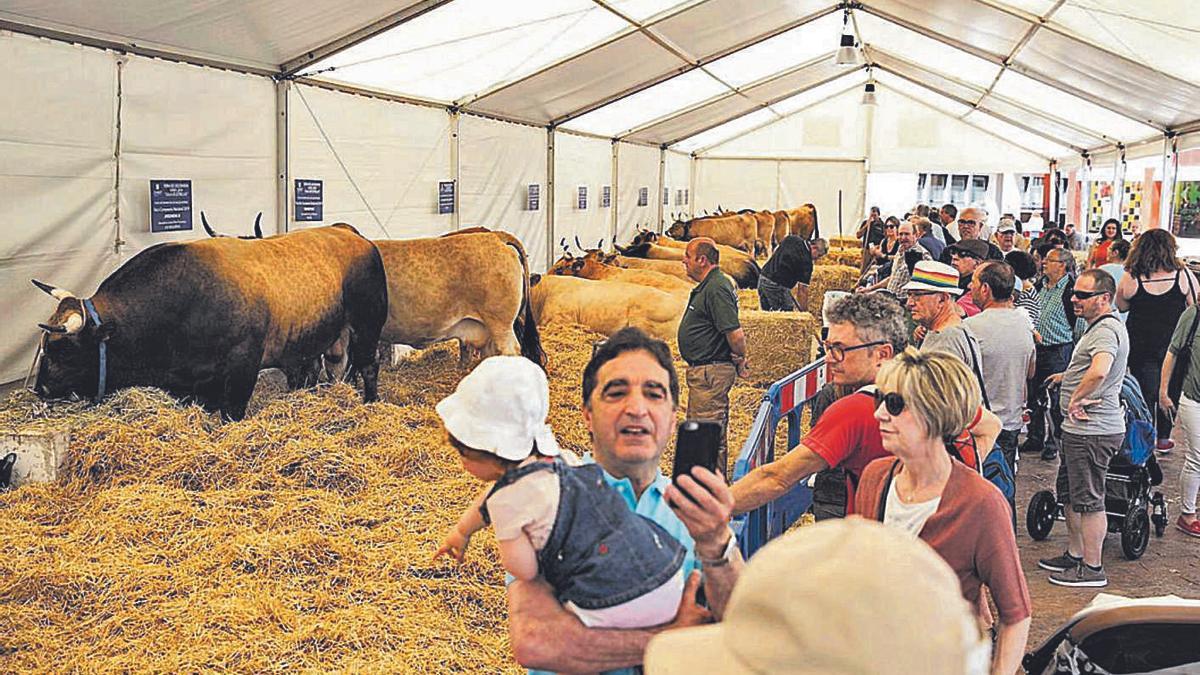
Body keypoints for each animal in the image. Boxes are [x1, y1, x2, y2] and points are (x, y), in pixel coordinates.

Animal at [32, 223, 386, 417]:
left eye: (64, 351)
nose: (41, 389)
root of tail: (356, 238)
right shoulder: (193, 385)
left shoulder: (242, 368)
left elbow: (232, 413)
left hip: (367, 326)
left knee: (368, 366)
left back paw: (370, 403)